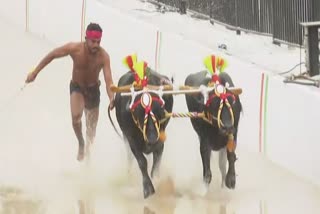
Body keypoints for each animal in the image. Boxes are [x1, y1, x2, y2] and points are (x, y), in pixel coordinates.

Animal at [114, 70, 172, 199]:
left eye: (160, 112)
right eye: (139, 113)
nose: (152, 139)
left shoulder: (160, 142)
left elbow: (156, 166)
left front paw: (156, 181)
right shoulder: (131, 140)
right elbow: (142, 162)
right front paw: (148, 189)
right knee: (130, 158)